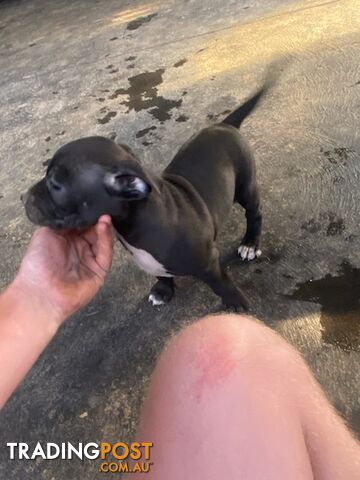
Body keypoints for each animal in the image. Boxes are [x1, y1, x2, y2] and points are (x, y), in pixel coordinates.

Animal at [22, 82, 270, 310]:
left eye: (55, 184)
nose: (23, 197)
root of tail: (225, 125)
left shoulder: (208, 261)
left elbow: (221, 283)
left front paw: (236, 303)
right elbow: (161, 273)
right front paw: (163, 290)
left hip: (246, 186)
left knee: (254, 212)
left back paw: (250, 243)